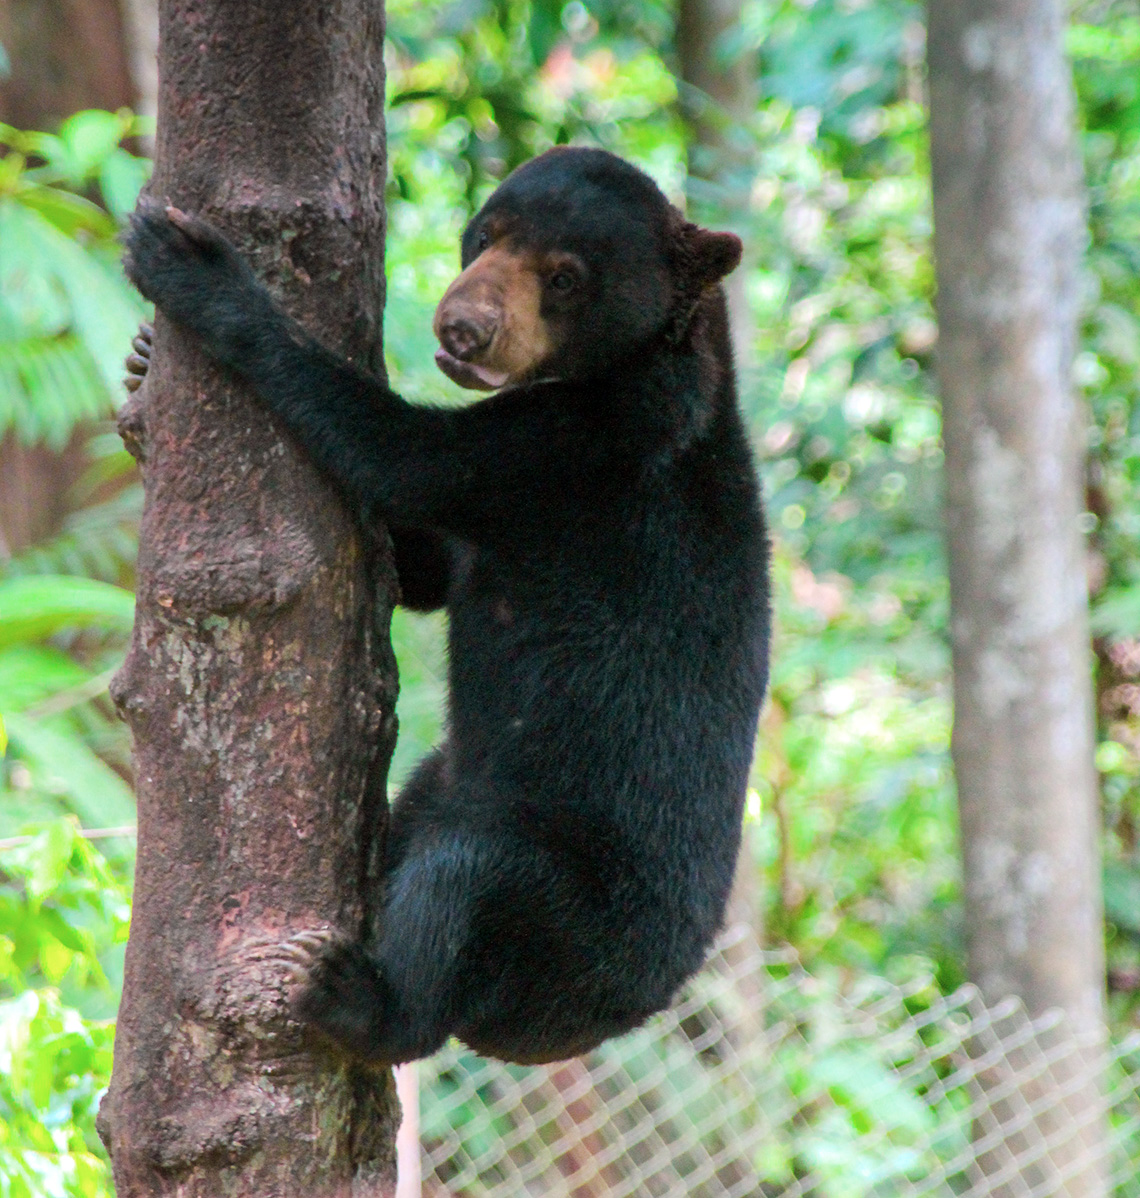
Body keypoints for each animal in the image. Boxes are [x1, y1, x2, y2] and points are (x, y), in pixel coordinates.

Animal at [122, 144, 766, 1063]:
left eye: (565, 277)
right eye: (487, 232)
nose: (464, 328)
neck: (658, 356)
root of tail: (590, 1025)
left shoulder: (580, 448)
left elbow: (398, 453)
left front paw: (190, 266)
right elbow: (416, 566)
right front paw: (141, 363)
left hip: (559, 897)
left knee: (463, 880)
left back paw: (359, 998)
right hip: (451, 781)